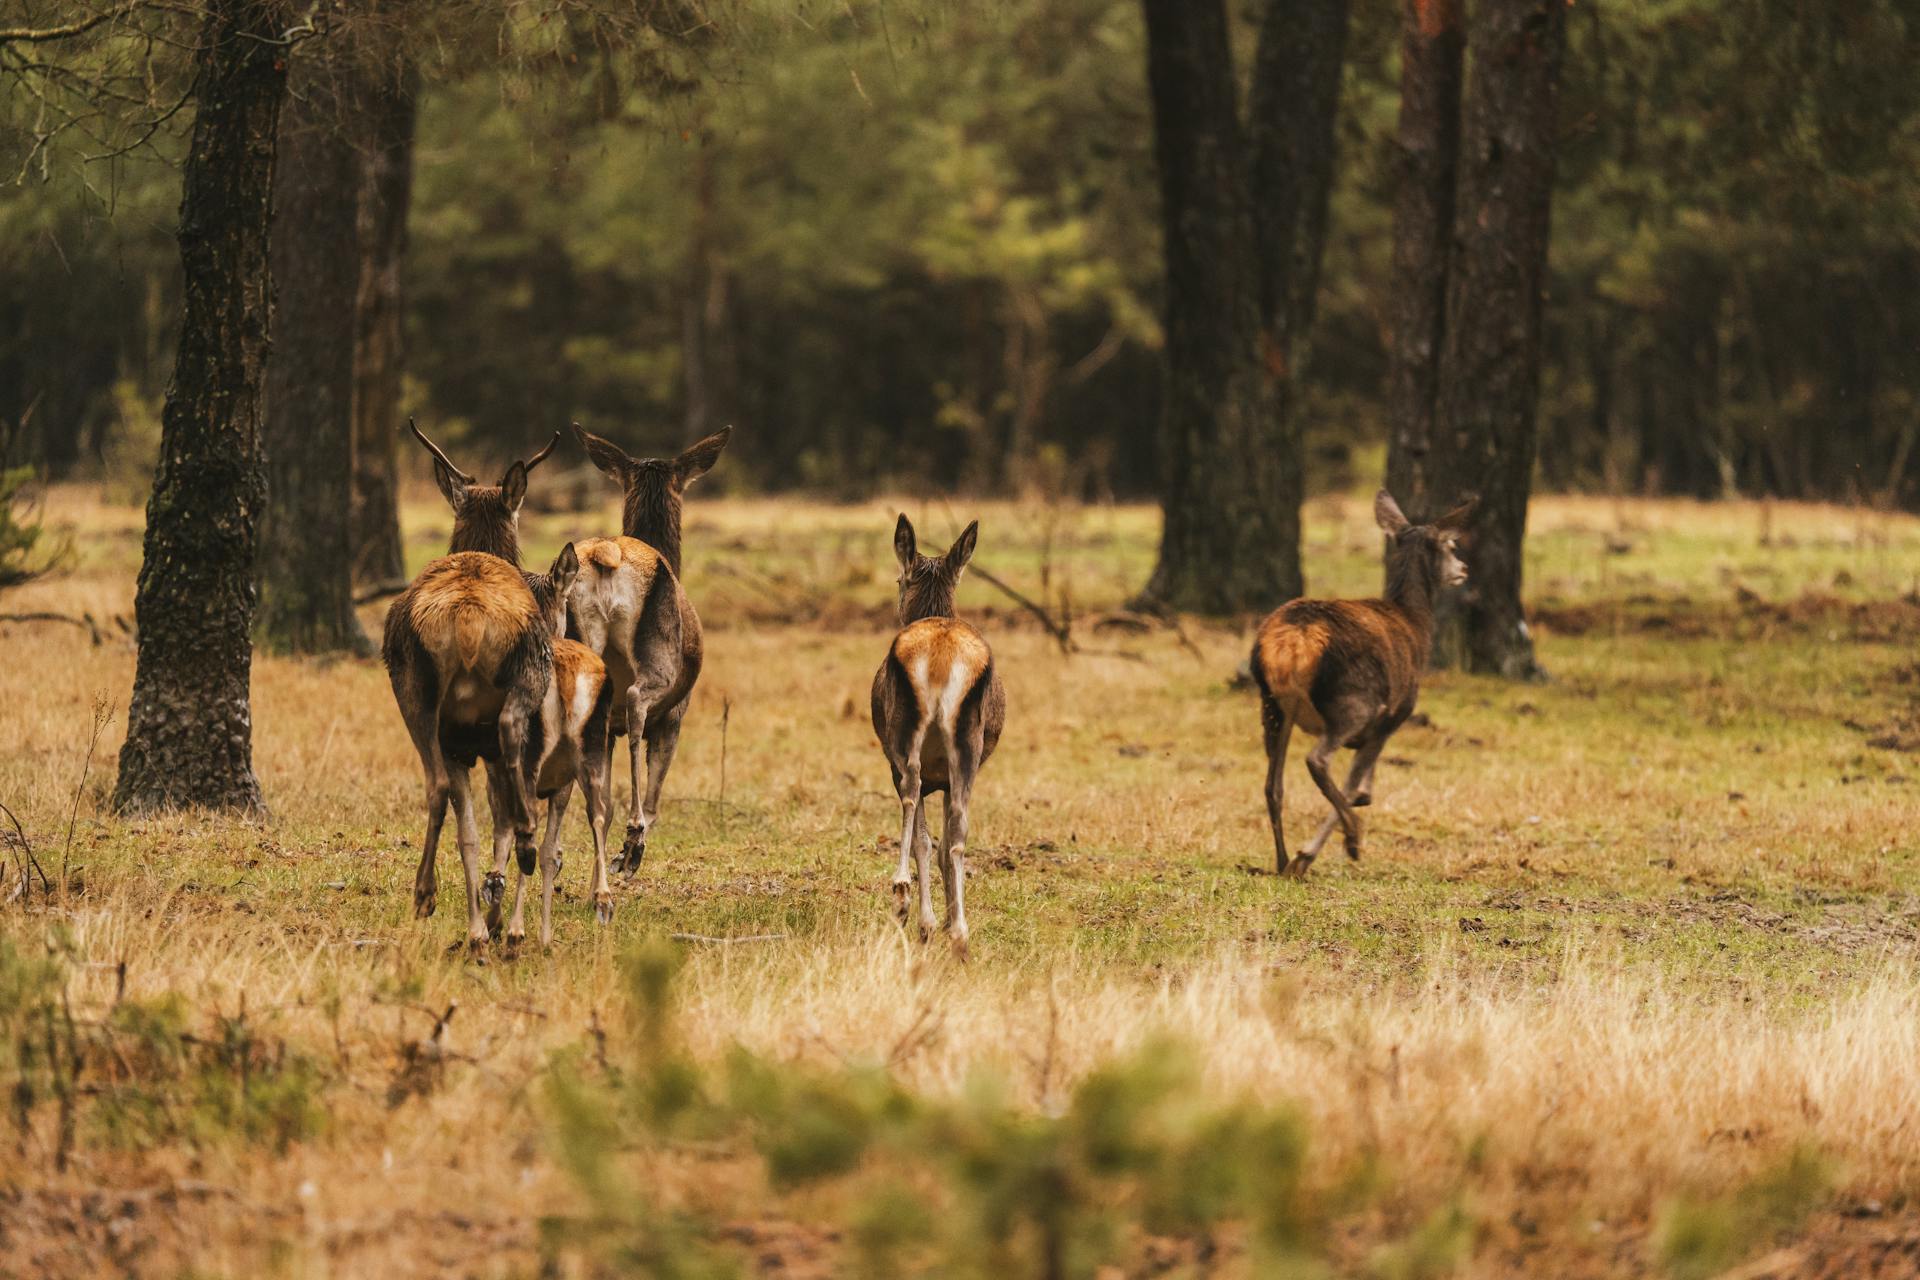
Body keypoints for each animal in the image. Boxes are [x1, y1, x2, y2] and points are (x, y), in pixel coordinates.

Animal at [568, 422, 733, 890]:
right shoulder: (677, 712)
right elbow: (657, 796)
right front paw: (624, 855)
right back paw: (633, 841)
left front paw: (595, 885)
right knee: (637, 698)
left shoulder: (607, 727)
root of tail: (605, 557)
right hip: (658, 660)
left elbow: (603, 802)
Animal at [871, 514, 1006, 955]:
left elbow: (925, 840)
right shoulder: (947, 776)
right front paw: (949, 918)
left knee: (912, 792)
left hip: (902, 735)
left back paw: (905, 899)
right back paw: (959, 932)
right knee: (959, 828)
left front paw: (929, 918)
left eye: (899, 579)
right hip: (968, 743)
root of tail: (942, 658)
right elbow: (945, 844)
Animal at [1251, 491, 1474, 882]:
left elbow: (1360, 788)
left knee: (1272, 784)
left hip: (1273, 704)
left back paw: (1281, 861)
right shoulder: (1393, 716)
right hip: (1353, 701)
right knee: (1317, 759)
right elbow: (1355, 786)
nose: (1463, 569)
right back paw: (1342, 840)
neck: (1416, 623)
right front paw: (1322, 849)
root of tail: (1293, 643)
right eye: (1451, 544)